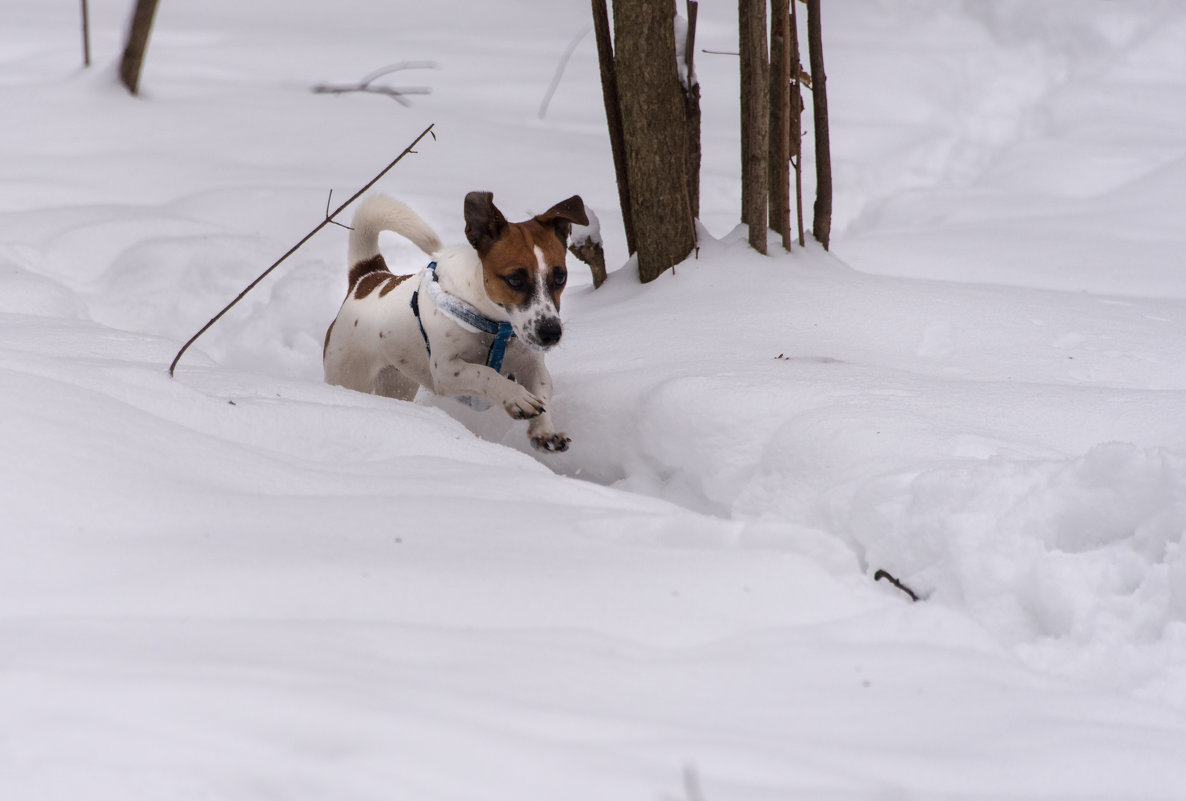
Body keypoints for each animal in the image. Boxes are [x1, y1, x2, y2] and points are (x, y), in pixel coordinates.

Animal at [322, 187, 585, 450]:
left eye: (560, 277)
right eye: (515, 280)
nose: (551, 332)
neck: (495, 326)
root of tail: (368, 278)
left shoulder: (531, 365)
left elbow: (542, 391)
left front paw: (544, 431)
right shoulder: (446, 371)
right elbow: (485, 373)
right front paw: (515, 396)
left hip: (398, 382)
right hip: (349, 375)